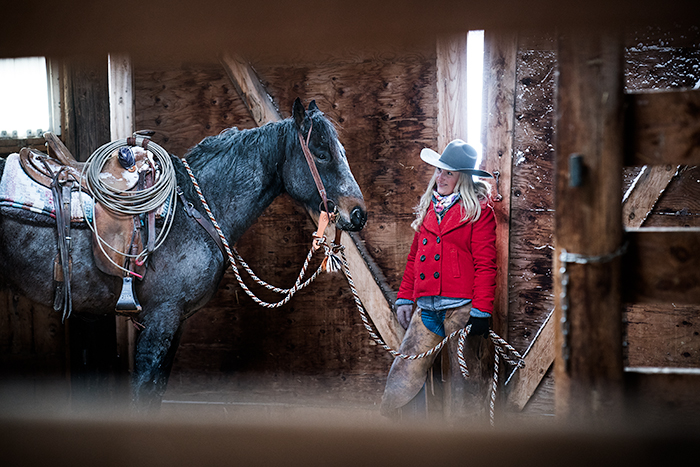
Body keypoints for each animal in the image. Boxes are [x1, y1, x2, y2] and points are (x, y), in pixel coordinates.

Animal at [0, 98, 370, 410]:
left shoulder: (174, 323)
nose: (358, 214)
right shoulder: (161, 318)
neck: (194, 209)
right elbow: (143, 394)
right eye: (321, 153)